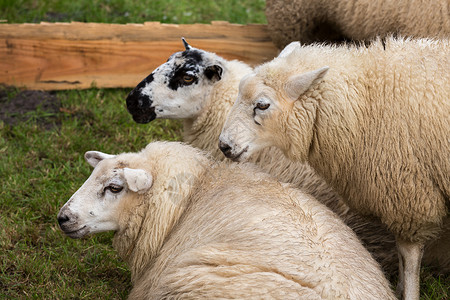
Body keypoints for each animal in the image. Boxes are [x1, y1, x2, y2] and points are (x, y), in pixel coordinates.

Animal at [219, 37, 450, 300]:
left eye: (262, 105)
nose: (224, 146)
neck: (363, 102)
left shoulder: (409, 194)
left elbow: (408, 256)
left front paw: (408, 291)